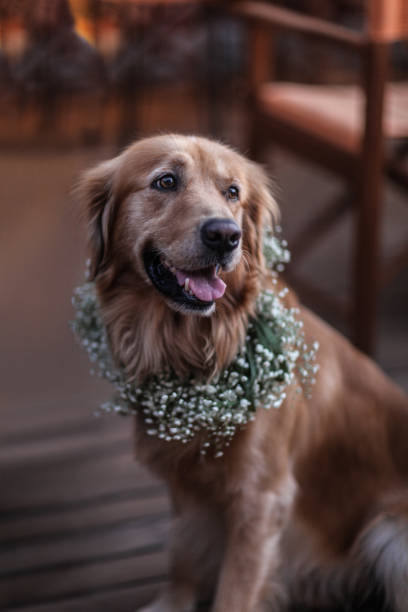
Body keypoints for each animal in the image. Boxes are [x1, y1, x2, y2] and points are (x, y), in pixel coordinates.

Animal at [78, 135, 408, 612]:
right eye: (165, 181)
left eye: (232, 192)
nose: (225, 235)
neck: (195, 352)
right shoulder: (188, 484)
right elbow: (184, 551)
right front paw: (173, 601)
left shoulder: (262, 497)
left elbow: (235, 591)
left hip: (390, 536)